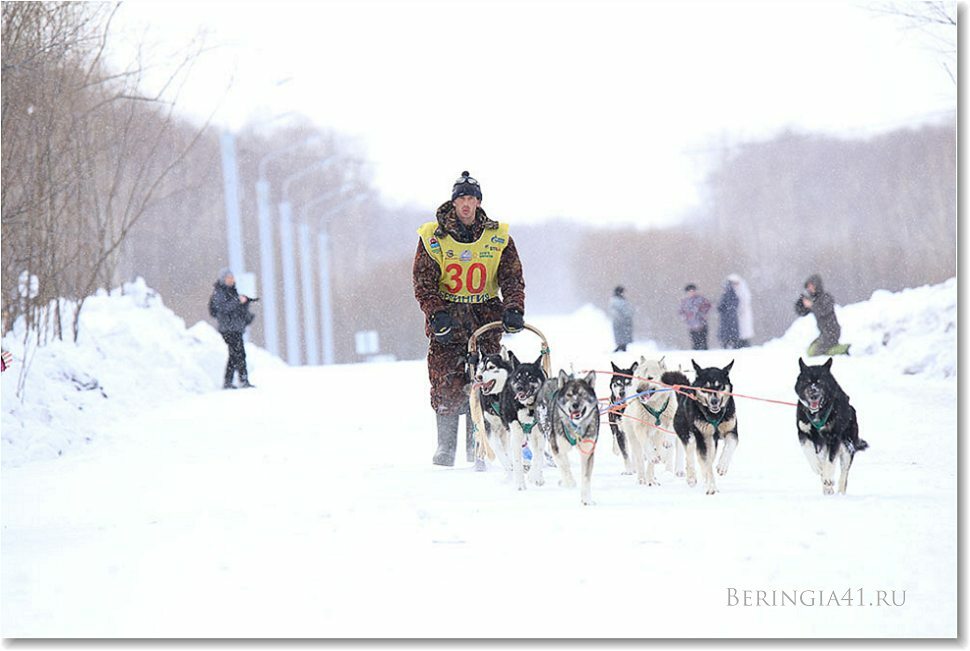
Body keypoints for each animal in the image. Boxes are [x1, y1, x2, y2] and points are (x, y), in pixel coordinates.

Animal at [536, 372, 596, 504]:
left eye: (582, 394)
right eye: (569, 395)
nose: (575, 405)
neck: (575, 427)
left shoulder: (587, 451)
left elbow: (586, 477)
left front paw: (587, 499)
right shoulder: (556, 447)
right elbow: (564, 467)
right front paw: (569, 482)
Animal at [668, 362, 736, 494]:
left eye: (720, 386)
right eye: (705, 388)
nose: (714, 401)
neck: (714, 415)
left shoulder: (731, 430)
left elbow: (731, 445)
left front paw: (722, 466)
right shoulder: (701, 437)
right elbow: (705, 463)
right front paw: (711, 487)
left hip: (711, 443)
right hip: (687, 434)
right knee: (690, 453)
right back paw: (691, 478)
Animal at [796, 356, 868, 494]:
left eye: (820, 382)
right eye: (807, 381)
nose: (813, 394)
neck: (818, 412)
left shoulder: (834, 438)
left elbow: (830, 462)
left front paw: (828, 477)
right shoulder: (803, 434)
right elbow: (810, 454)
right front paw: (818, 468)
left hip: (847, 447)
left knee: (843, 475)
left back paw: (838, 490)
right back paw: (827, 486)